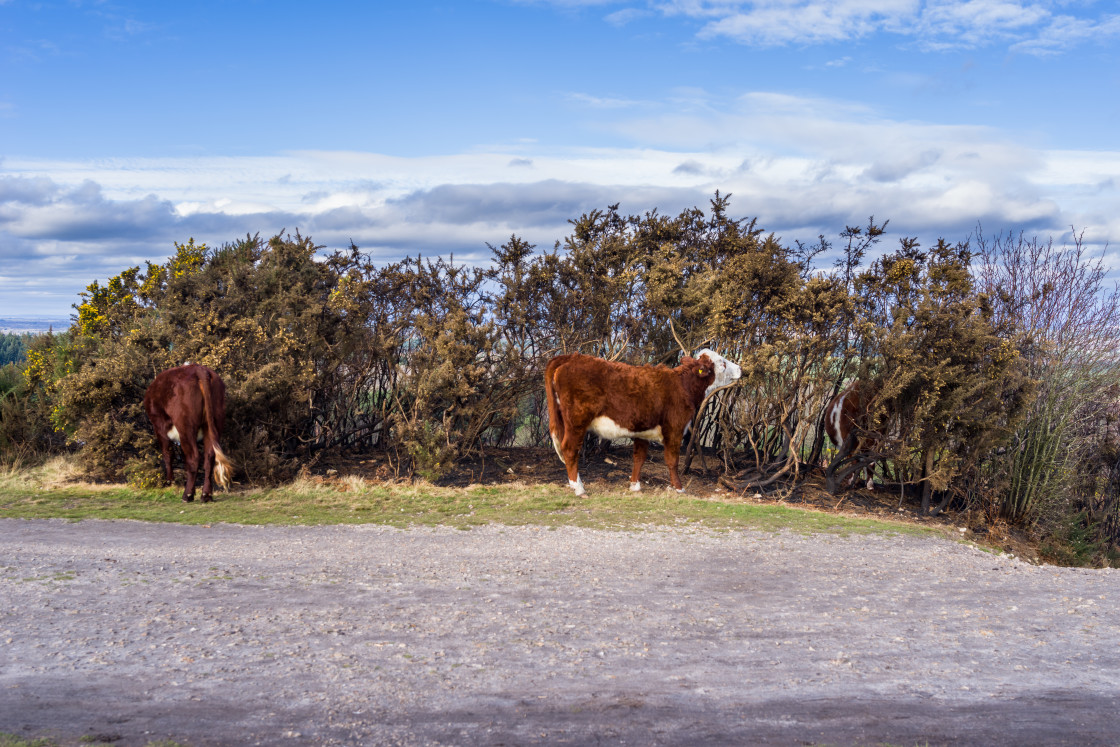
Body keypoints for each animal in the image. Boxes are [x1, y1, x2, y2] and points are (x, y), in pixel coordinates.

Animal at [144, 362, 231, 501]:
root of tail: (198, 369)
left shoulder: (160, 427)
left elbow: (168, 453)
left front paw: (169, 481)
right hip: (215, 422)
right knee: (209, 456)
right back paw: (206, 495)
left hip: (185, 426)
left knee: (194, 457)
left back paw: (187, 495)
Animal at [544, 349, 739, 497]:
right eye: (722, 363)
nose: (739, 368)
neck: (682, 385)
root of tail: (571, 356)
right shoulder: (674, 429)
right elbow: (672, 460)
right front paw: (678, 487)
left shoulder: (643, 431)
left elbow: (639, 457)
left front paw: (635, 485)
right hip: (577, 422)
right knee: (569, 449)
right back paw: (579, 488)